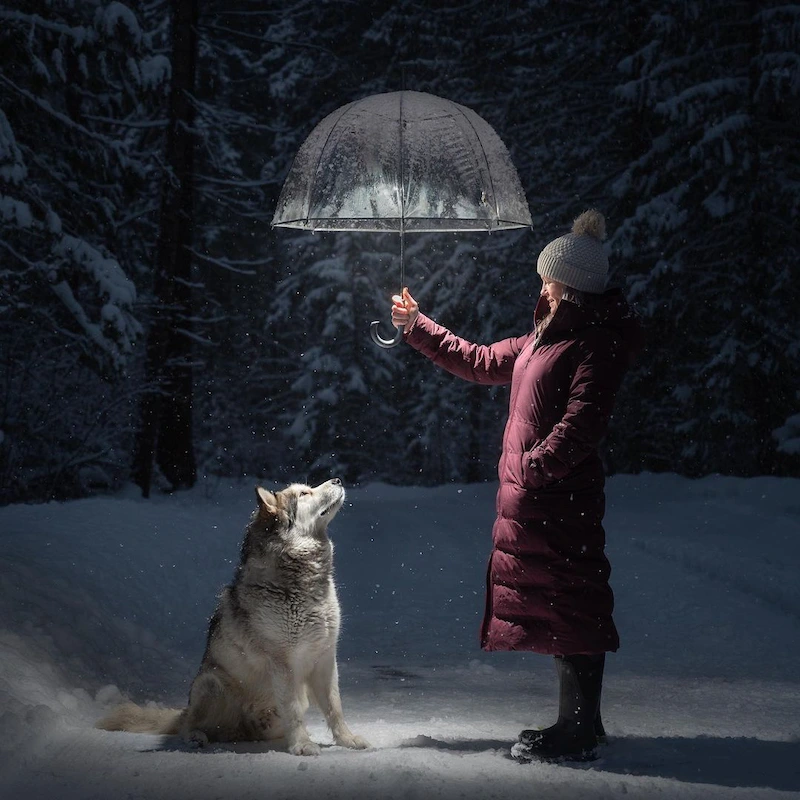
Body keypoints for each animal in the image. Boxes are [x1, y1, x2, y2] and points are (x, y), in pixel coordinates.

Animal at [97, 478, 368, 760]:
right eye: (305, 493)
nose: (337, 479)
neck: (305, 584)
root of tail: (245, 731)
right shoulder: (283, 664)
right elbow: (293, 711)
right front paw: (302, 745)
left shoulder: (325, 658)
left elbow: (335, 708)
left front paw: (347, 740)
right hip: (210, 684)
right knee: (188, 726)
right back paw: (196, 737)